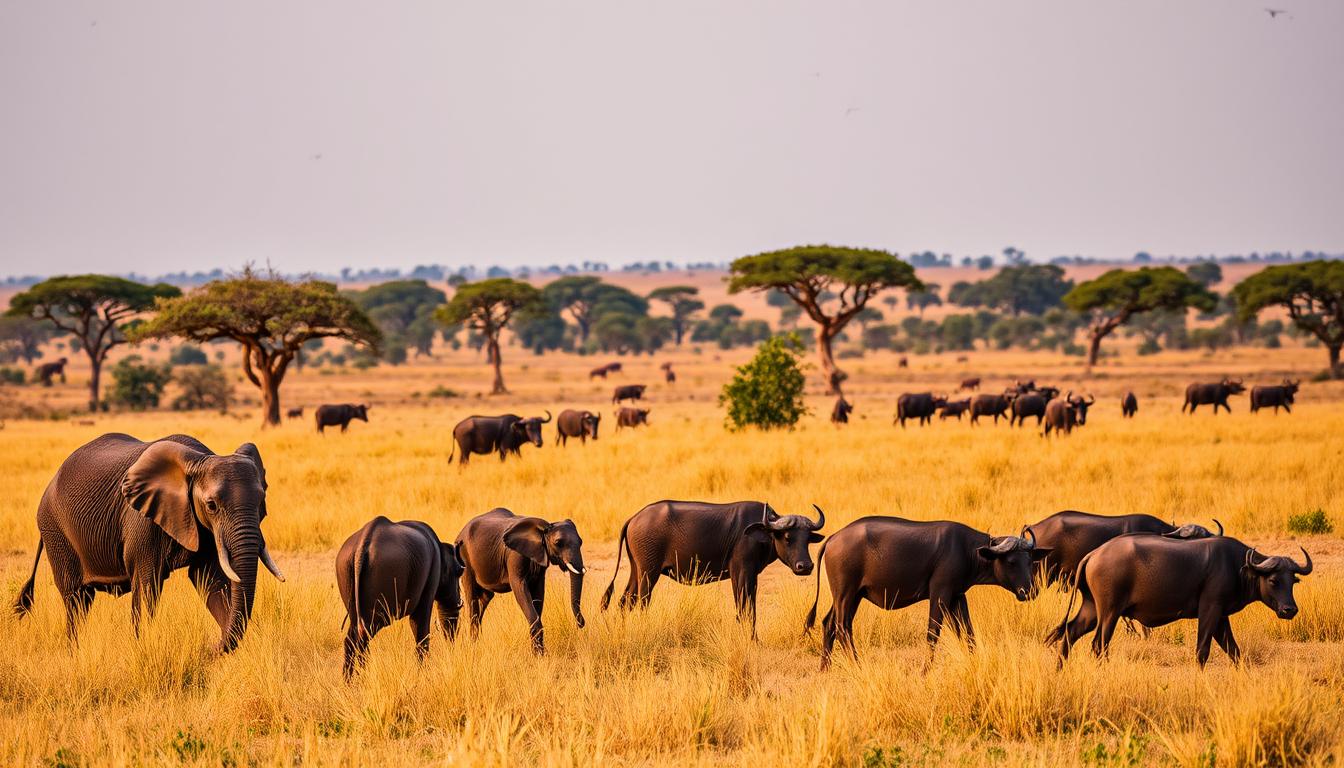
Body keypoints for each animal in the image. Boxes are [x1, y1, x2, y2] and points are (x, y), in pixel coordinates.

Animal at [12, 433, 285, 652]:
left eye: (262, 502)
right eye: (211, 505)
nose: (209, 647)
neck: (199, 461)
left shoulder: (205, 529)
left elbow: (210, 579)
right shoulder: (142, 521)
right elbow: (146, 585)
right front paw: (142, 649)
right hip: (55, 530)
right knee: (75, 600)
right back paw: (73, 652)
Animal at [336, 517, 466, 678]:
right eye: (459, 571)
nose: (459, 602)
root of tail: (362, 544)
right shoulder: (430, 579)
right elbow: (419, 625)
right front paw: (423, 674)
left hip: (346, 574)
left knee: (355, 635)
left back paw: (350, 680)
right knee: (366, 632)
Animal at [452, 508, 586, 654]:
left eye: (581, 542)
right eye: (558, 543)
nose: (581, 624)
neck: (543, 529)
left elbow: (538, 592)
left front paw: (538, 653)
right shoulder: (515, 555)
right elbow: (520, 587)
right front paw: (539, 655)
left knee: (484, 599)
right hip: (464, 557)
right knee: (472, 600)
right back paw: (473, 647)